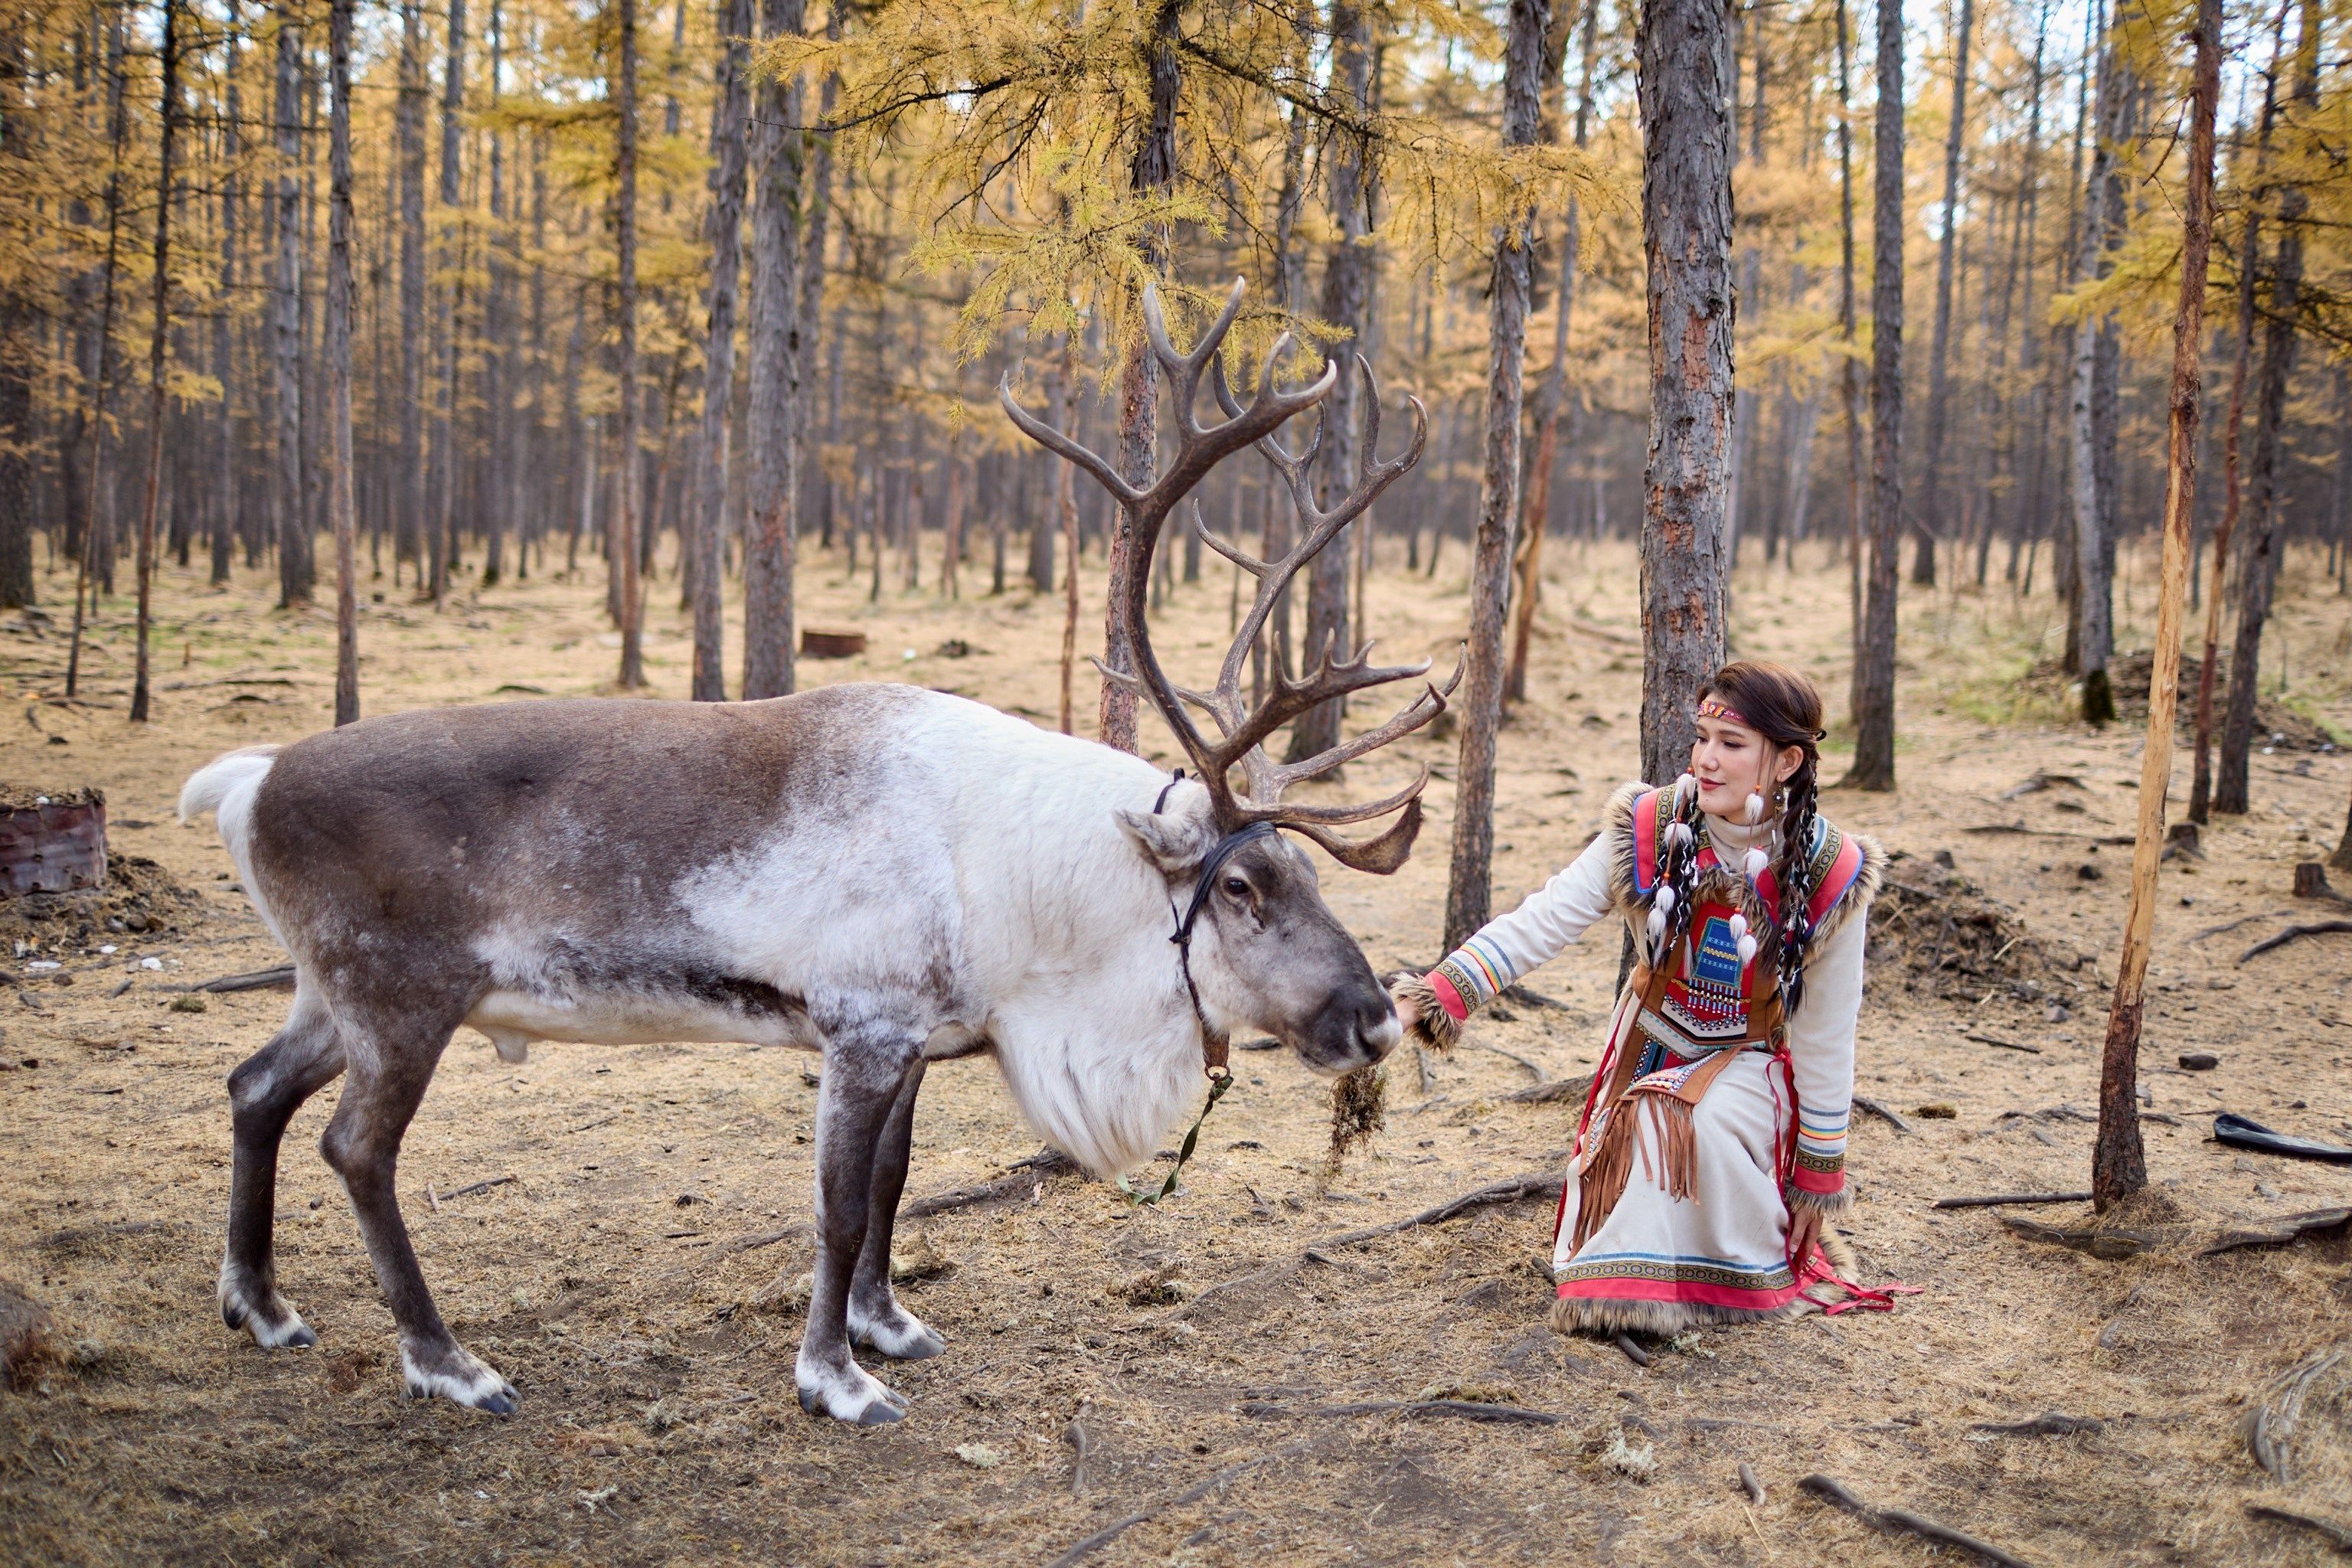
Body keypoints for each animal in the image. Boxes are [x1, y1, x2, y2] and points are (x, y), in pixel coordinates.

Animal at [177, 278, 1457, 1425]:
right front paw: (835, 1378)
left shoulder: (918, 1037)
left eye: (1310, 873)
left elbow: (892, 1187)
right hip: (402, 997)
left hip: (331, 992)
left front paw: (886, 1323)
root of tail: (250, 782)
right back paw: (449, 1363)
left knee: (254, 1088)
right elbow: (839, 1208)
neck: (1023, 890)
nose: (1376, 1021)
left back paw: (263, 1307)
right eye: (1241, 884)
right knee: (355, 1148)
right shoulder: (861, 1024)